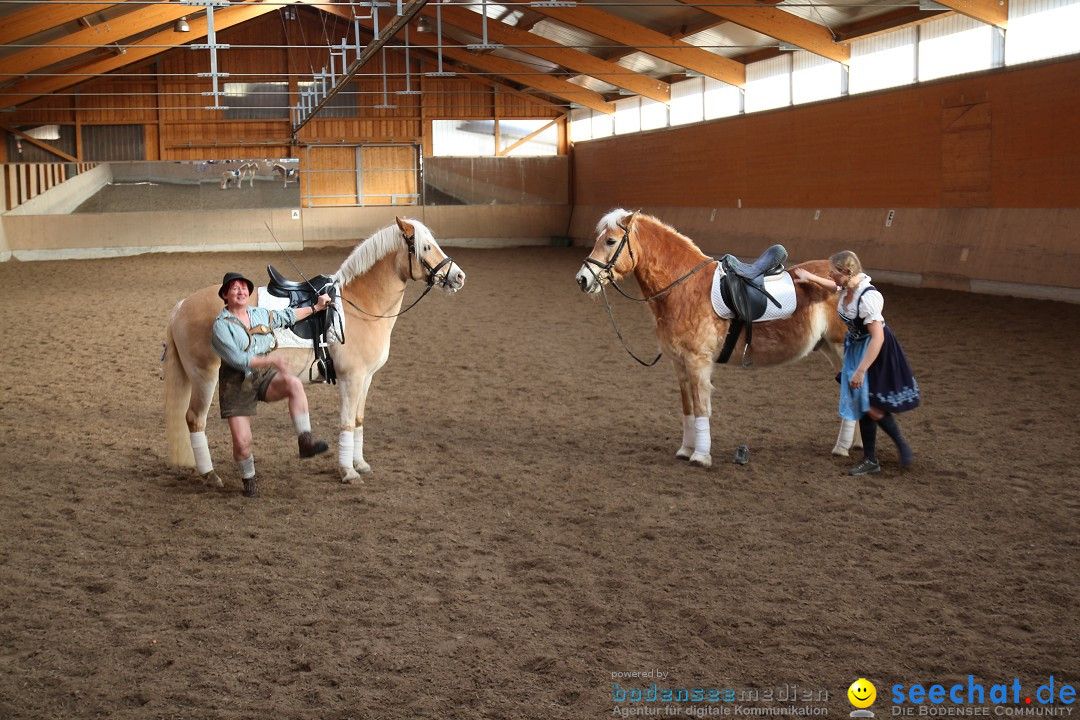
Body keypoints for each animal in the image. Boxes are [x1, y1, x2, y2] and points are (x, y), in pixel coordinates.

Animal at [162, 216, 466, 487]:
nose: (458, 276)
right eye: (425, 247)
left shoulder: (366, 378)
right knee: (195, 419)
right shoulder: (351, 378)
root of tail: (181, 305)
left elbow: (358, 420)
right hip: (204, 377)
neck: (361, 304)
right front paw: (348, 472)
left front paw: (359, 464)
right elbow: (346, 423)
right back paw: (210, 474)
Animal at [574, 209, 859, 468]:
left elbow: (701, 408)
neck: (683, 287)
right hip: (830, 349)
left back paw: (843, 448)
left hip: (841, 347)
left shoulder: (697, 361)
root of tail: (853, 280)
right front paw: (686, 450)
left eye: (610, 241)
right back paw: (854, 445)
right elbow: (688, 407)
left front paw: (700, 456)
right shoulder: (679, 363)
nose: (582, 279)